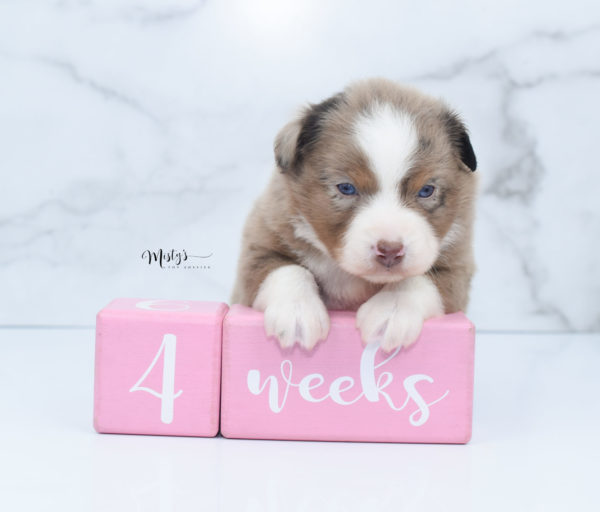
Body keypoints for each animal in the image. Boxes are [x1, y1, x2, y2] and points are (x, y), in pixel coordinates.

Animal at [231, 78, 478, 354]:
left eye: (426, 190)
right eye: (346, 188)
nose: (390, 250)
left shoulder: (457, 267)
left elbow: (418, 280)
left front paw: (391, 311)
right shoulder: (261, 243)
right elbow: (286, 269)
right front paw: (297, 313)